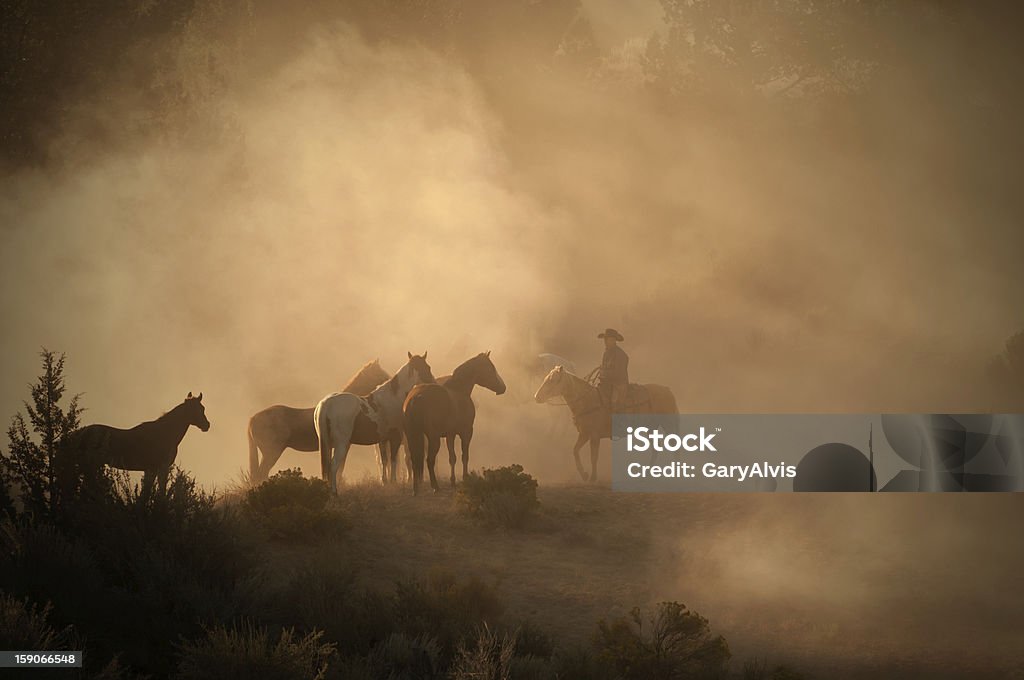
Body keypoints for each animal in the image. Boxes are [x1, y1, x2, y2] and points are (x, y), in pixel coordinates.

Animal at [247, 358, 391, 485]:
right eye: (380, 373)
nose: (389, 380)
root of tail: (253, 418)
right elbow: (339, 469)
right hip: (271, 453)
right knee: (260, 474)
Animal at [403, 350, 507, 493]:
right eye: (491, 367)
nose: (503, 387)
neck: (459, 391)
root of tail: (417, 397)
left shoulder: (450, 435)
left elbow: (452, 458)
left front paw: (453, 481)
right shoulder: (466, 432)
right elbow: (464, 456)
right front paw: (465, 478)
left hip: (413, 436)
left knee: (414, 460)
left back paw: (416, 489)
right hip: (433, 438)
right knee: (429, 460)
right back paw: (435, 487)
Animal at [532, 366, 675, 483]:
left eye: (553, 380)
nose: (536, 397)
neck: (587, 401)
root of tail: (667, 390)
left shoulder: (594, 436)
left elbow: (594, 456)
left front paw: (593, 477)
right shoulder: (584, 434)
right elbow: (575, 451)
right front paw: (584, 475)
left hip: (669, 424)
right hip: (650, 429)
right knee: (655, 449)